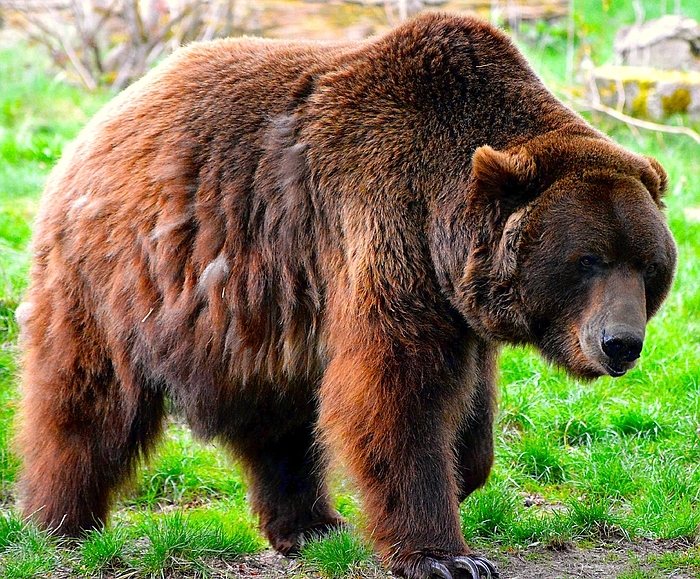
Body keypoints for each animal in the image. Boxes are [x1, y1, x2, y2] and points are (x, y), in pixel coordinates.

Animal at [19, 12, 676, 579]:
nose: (620, 343)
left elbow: (469, 401)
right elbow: (397, 392)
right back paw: (60, 522)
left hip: (257, 313)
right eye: (587, 261)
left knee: (280, 420)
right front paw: (447, 556)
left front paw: (464, 469)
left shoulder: (456, 297)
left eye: (649, 266)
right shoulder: (385, 224)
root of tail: (104, 118)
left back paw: (311, 524)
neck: (445, 218)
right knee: (88, 400)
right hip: (120, 276)